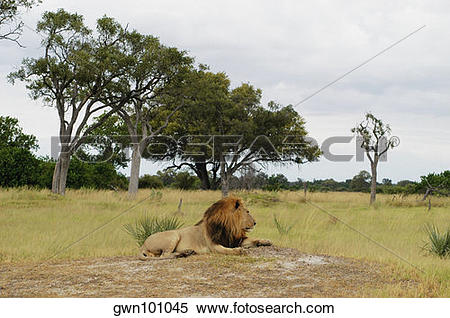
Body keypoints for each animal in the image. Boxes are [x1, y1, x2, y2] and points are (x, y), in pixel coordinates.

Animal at [138, 196, 270, 260]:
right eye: (247, 212)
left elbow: (253, 240)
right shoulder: (214, 246)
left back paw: (187, 252)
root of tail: (143, 244)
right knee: (163, 255)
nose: (255, 223)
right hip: (174, 235)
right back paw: (181, 255)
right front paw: (239, 251)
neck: (229, 227)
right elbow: (226, 250)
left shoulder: (235, 240)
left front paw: (265, 241)